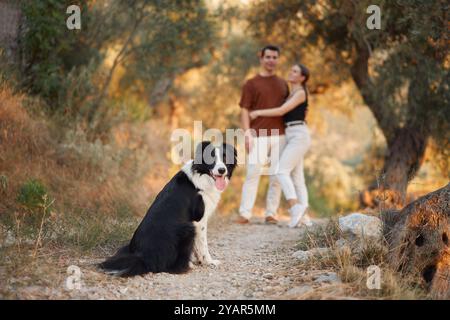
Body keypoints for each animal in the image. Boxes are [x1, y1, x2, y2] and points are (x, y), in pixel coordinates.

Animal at [99, 141, 239, 276]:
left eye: (225, 158)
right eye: (211, 158)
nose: (222, 170)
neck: (202, 176)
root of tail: (143, 257)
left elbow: (196, 247)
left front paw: (197, 260)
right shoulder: (199, 221)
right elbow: (202, 245)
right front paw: (208, 261)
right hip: (188, 228)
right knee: (171, 267)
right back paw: (187, 266)